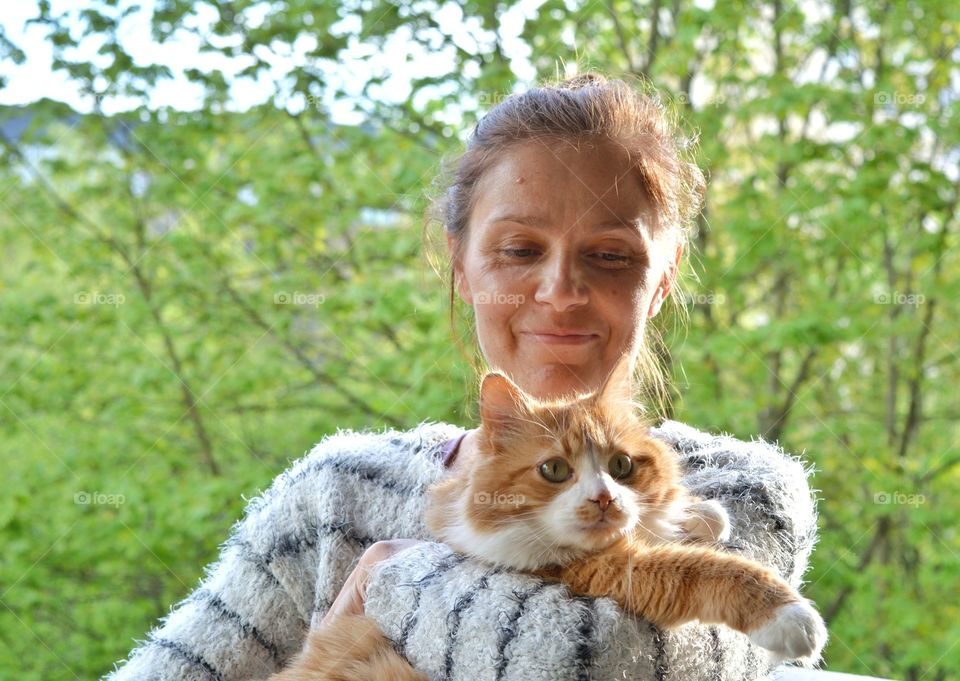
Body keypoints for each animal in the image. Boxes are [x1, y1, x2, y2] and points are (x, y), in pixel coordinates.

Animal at [270, 358, 824, 676]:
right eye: (554, 469)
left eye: (621, 466)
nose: (604, 499)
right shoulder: (599, 571)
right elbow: (704, 568)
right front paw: (790, 615)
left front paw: (698, 514)